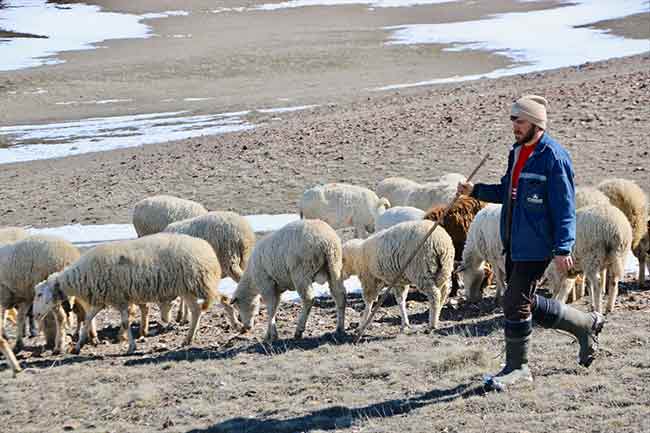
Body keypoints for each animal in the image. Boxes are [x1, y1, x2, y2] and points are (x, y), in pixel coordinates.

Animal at [30, 231, 238, 352]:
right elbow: (89, 319)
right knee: (202, 308)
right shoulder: (103, 300)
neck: (82, 276)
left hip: (197, 283)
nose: (35, 314)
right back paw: (195, 337)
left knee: (214, 301)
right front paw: (79, 345)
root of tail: (206, 248)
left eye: (39, 294)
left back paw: (229, 325)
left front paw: (130, 346)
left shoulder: (119, 298)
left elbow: (124, 322)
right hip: (189, 287)